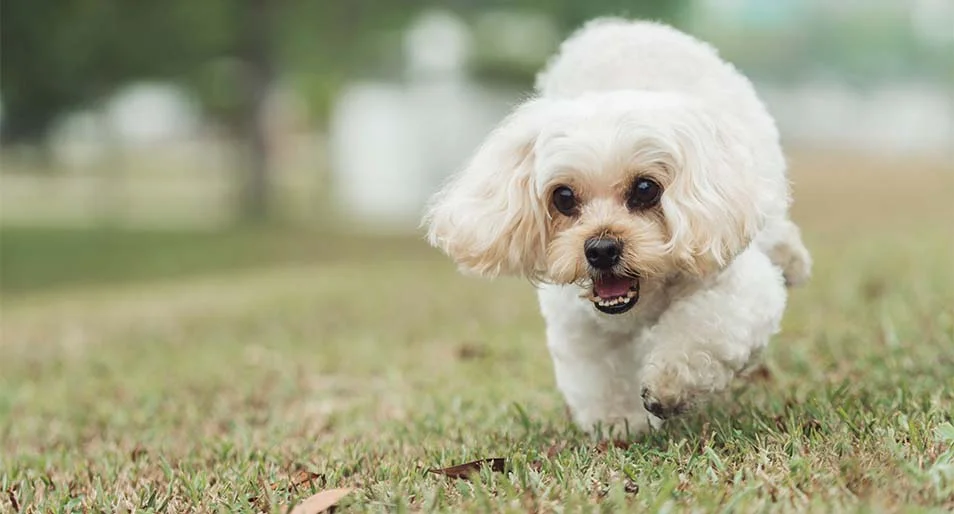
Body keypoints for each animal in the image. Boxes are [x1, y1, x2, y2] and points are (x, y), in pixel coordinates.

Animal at [420, 19, 808, 436]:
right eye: (563, 197)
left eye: (645, 189)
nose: (601, 250)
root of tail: (616, 26)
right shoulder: (580, 324)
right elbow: (602, 375)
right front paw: (621, 423)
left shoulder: (734, 281)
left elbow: (707, 328)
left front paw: (668, 386)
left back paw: (792, 261)